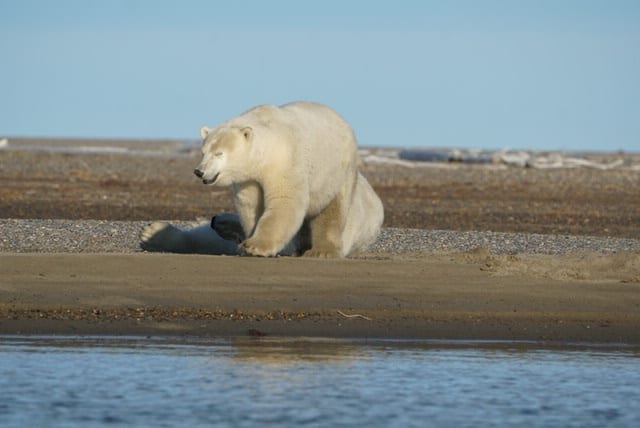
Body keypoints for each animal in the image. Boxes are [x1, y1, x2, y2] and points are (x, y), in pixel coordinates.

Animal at [141, 101, 380, 258]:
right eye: (203, 152)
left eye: (219, 154)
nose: (199, 171)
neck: (267, 149)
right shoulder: (249, 177)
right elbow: (251, 206)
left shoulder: (285, 163)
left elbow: (285, 203)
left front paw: (255, 246)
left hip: (336, 173)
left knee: (332, 210)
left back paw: (321, 250)